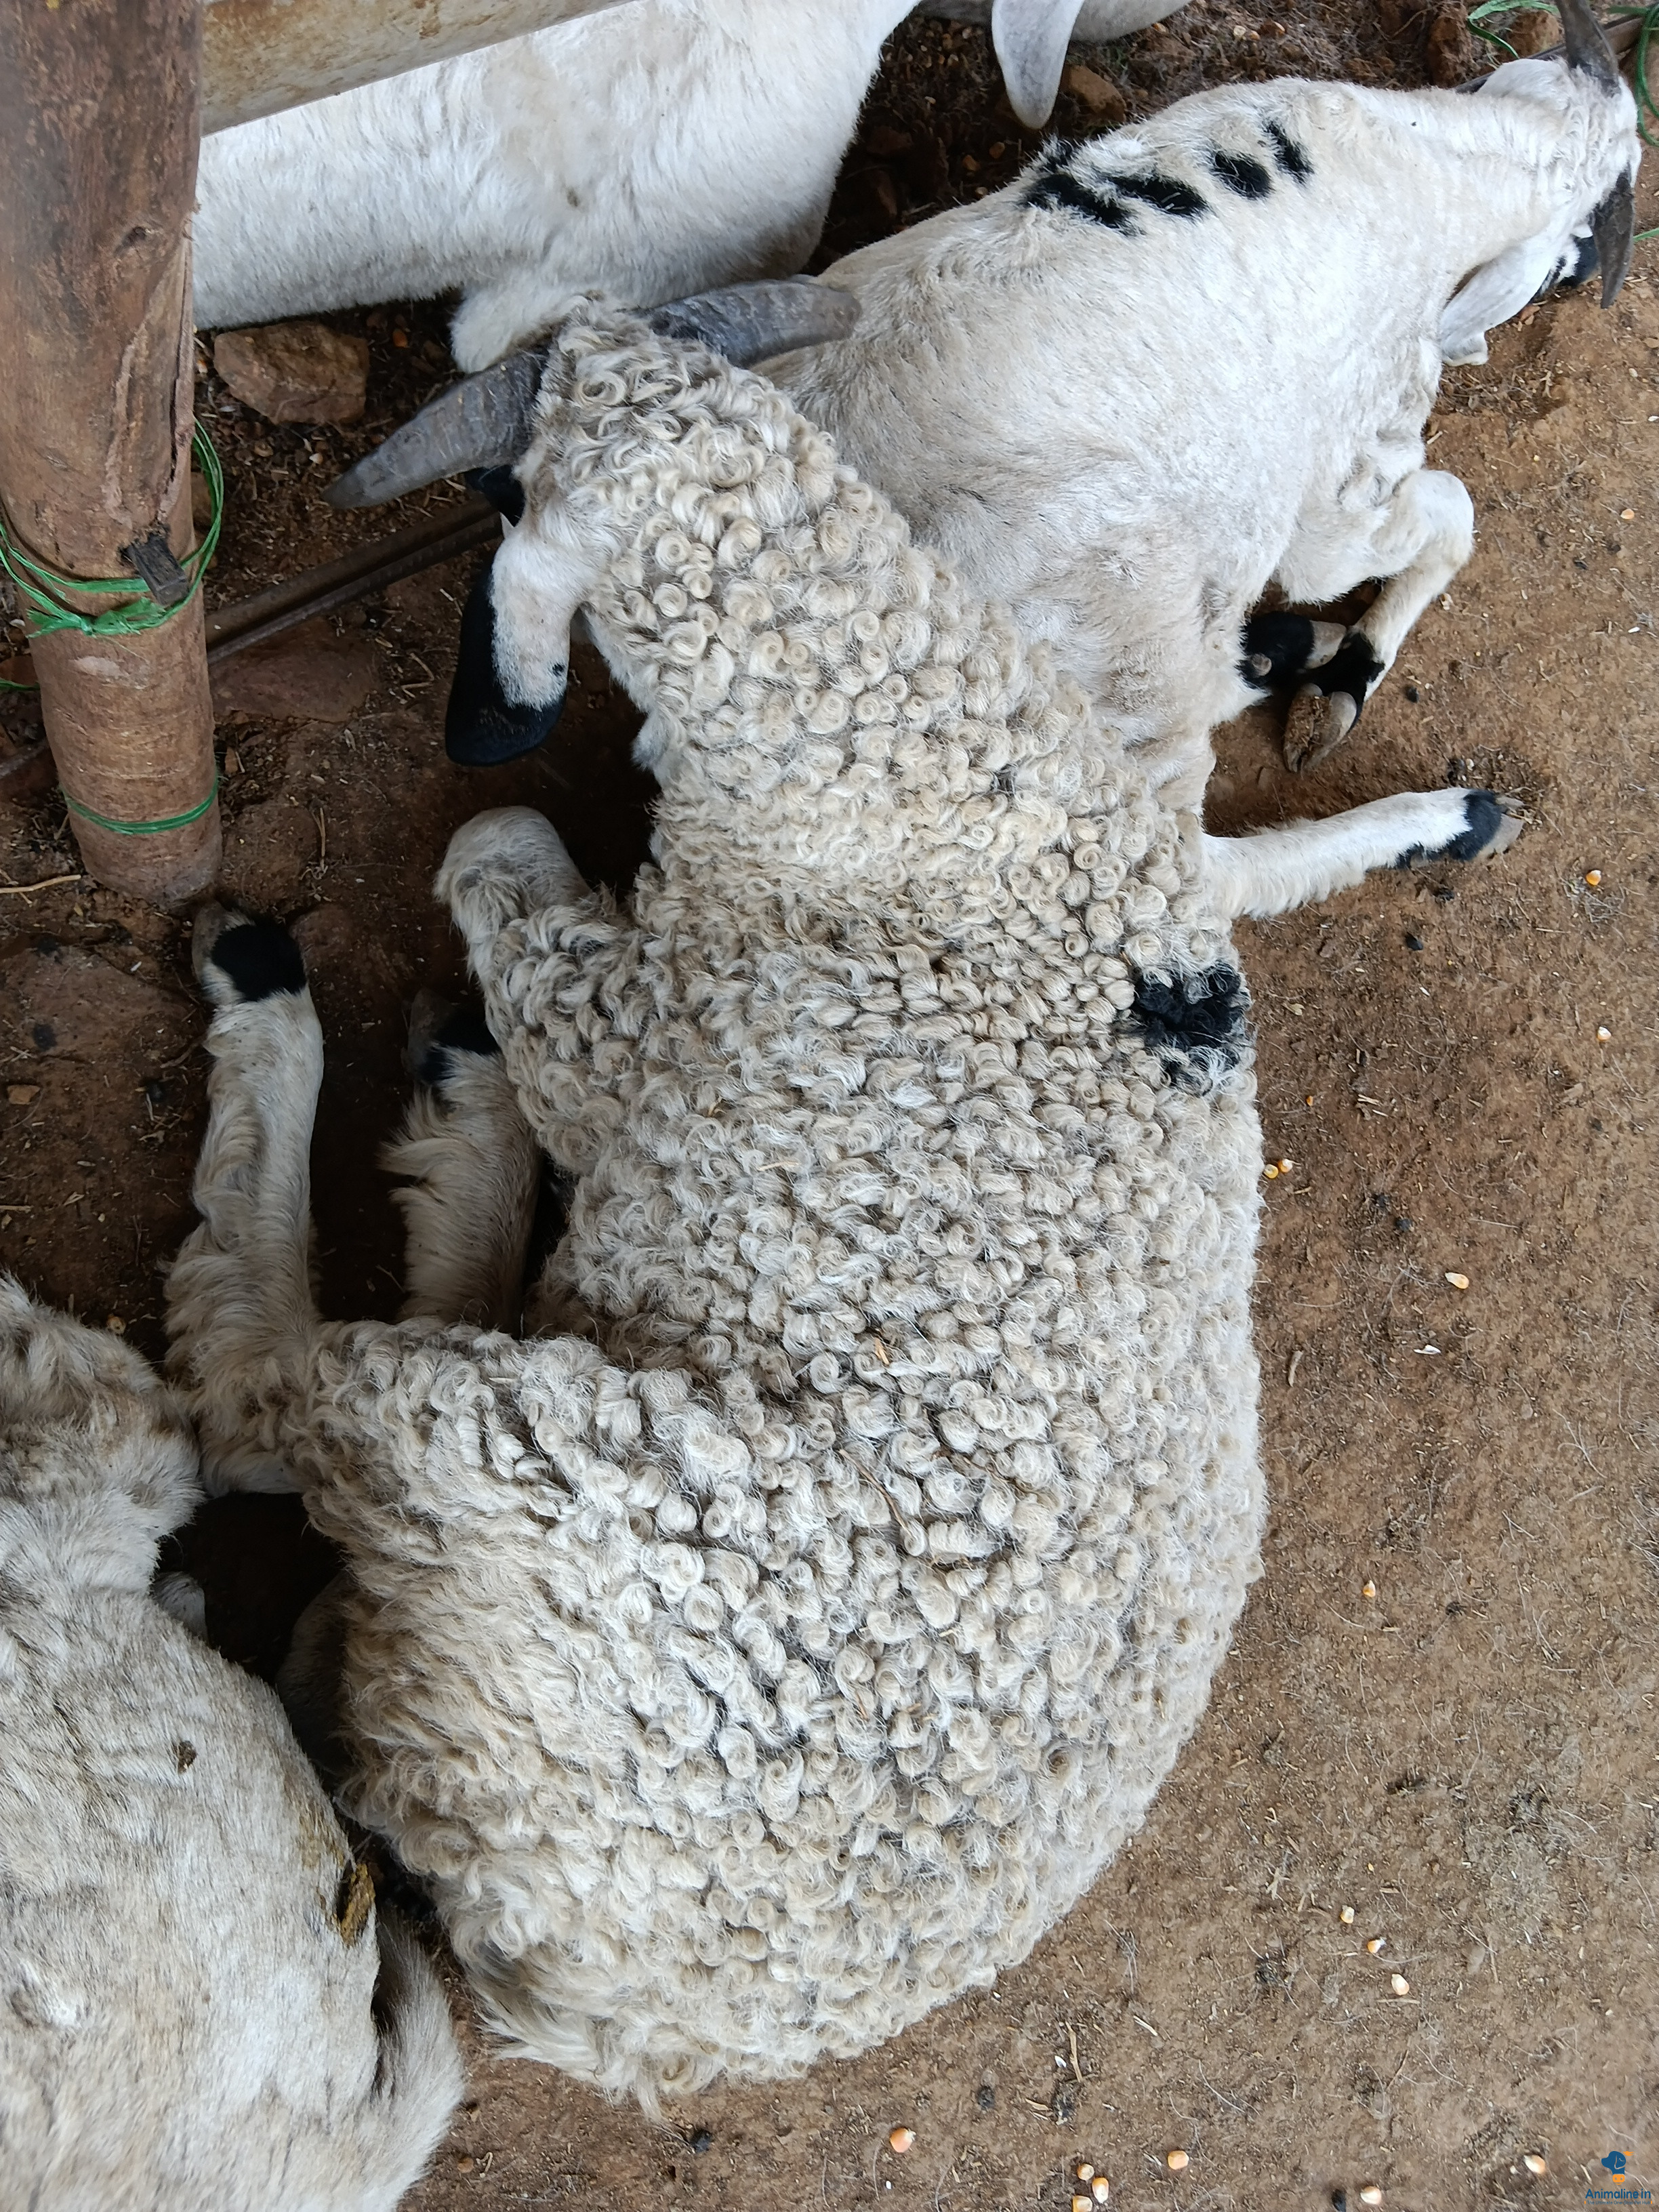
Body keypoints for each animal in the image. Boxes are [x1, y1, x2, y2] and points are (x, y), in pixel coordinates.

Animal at [752, 0, 1641, 909]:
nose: (1588, 269)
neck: (1422, 158)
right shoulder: (1341, 470)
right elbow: (1445, 513)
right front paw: (1352, 680)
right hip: (1123, 651)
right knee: (1202, 877)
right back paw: (1449, 818)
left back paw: (1279, 651)